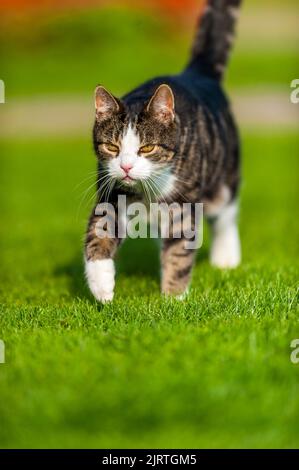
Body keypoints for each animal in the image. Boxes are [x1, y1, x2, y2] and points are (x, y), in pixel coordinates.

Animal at [85, 0, 243, 302]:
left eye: (147, 147)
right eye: (112, 146)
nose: (126, 167)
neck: (146, 191)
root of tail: (195, 74)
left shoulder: (184, 207)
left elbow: (179, 253)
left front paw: (173, 300)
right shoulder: (110, 193)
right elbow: (97, 234)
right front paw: (102, 286)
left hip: (224, 175)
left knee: (226, 213)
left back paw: (226, 258)